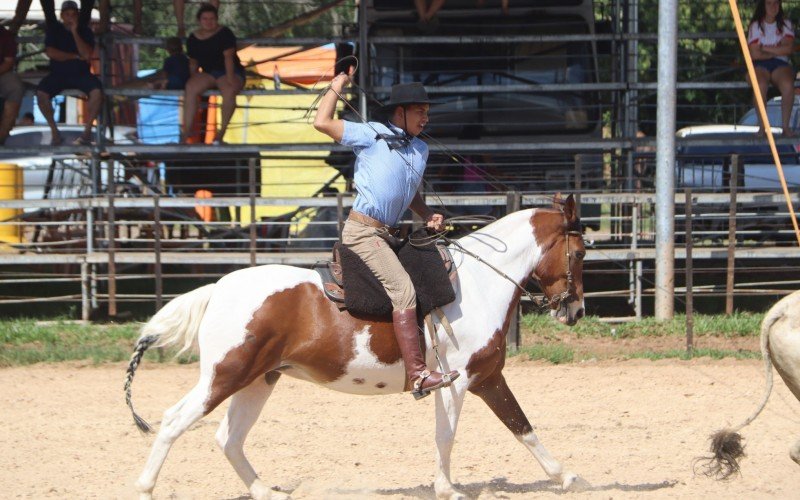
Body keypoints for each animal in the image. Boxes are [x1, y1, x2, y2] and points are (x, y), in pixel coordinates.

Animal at [125, 193, 588, 498]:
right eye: (581, 253)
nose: (576, 310)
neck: (478, 284)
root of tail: (218, 289)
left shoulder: (488, 378)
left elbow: (522, 428)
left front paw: (567, 477)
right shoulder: (455, 383)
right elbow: (447, 437)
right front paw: (447, 489)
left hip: (259, 380)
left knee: (229, 437)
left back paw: (266, 491)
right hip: (226, 374)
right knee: (175, 421)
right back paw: (146, 487)